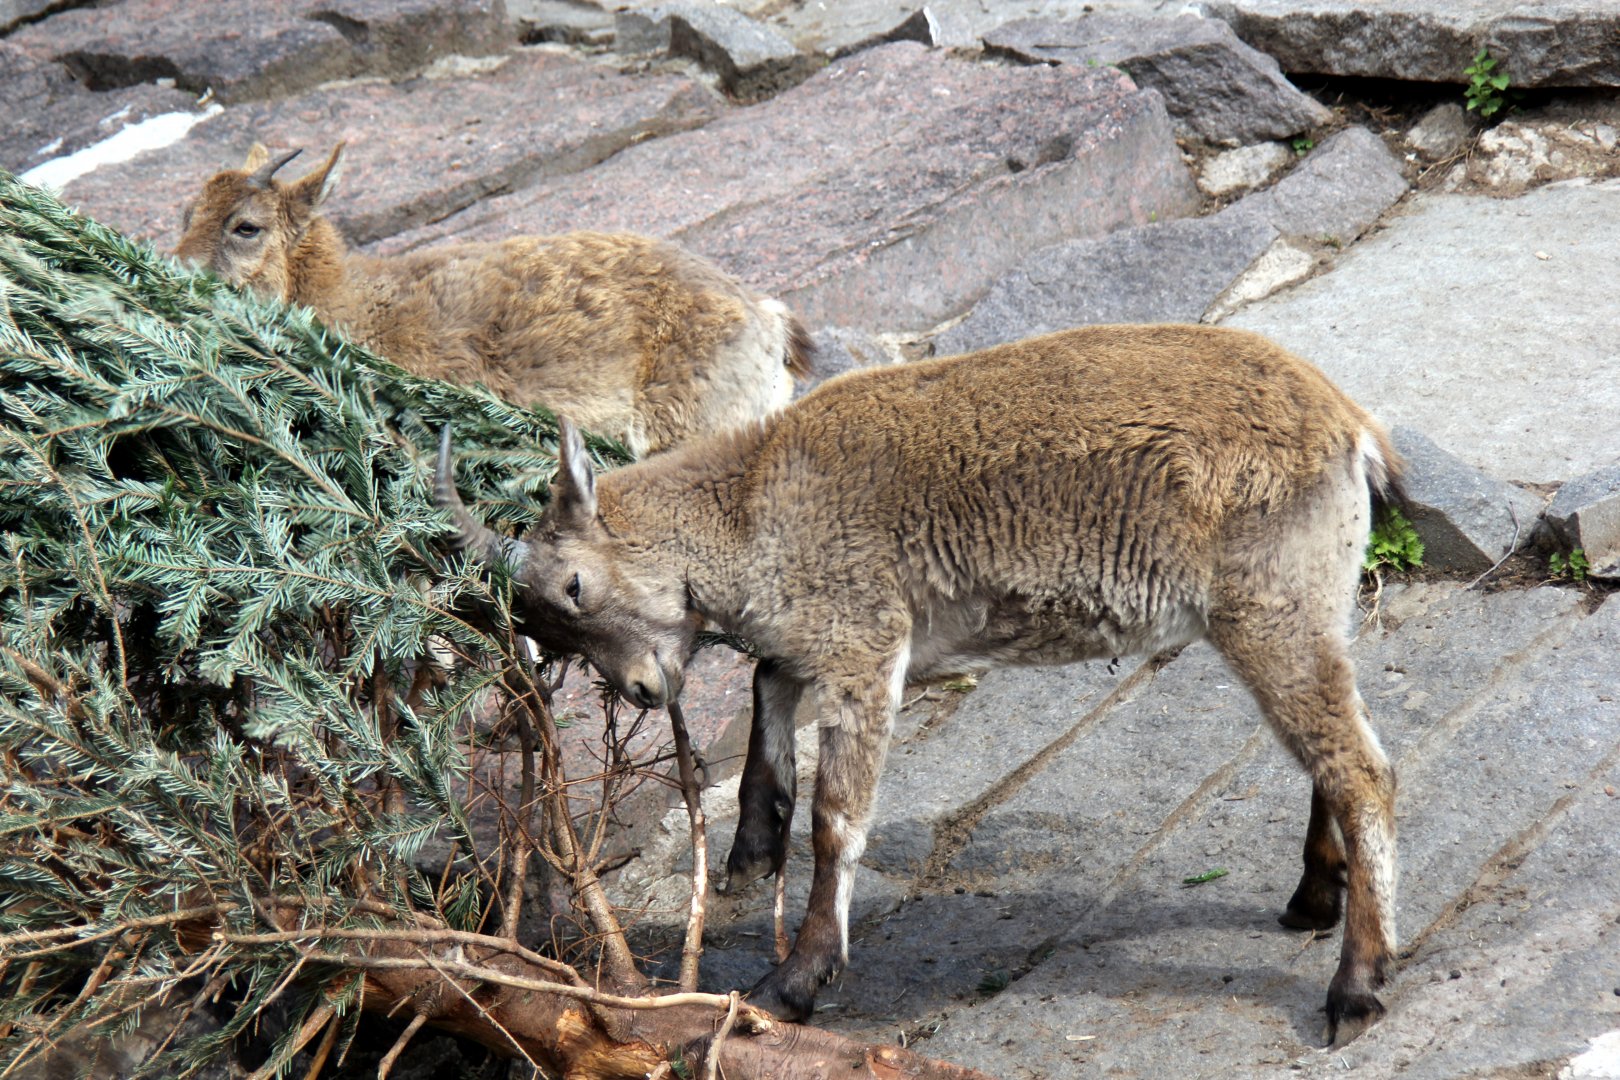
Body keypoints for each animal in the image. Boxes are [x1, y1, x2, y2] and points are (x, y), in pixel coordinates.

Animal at [435, 323, 1401, 1046]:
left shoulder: (867, 641)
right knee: (1334, 749)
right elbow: (766, 683)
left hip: (1267, 607)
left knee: (1364, 769)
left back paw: (1356, 986)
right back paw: (1313, 899)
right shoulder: (823, 638)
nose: (643, 689)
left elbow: (838, 819)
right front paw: (752, 842)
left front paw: (795, 979)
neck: (753, 503)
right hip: (1312, 604)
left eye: (574, 587)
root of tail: (1351, 428)